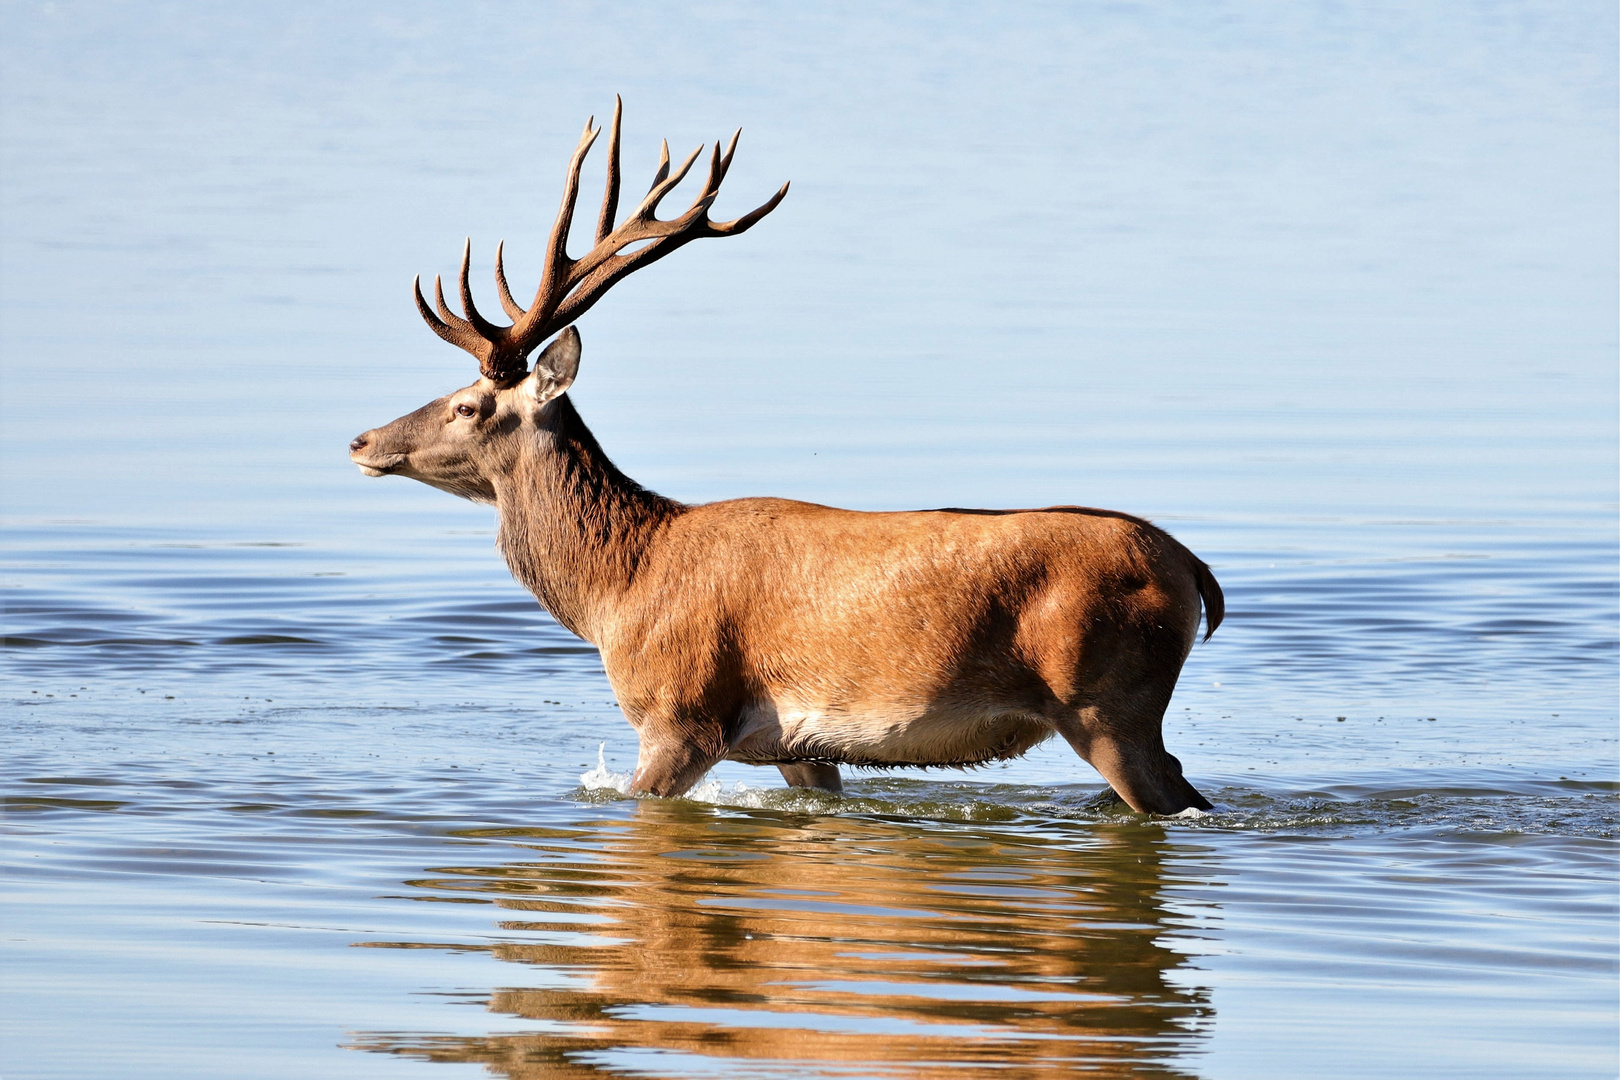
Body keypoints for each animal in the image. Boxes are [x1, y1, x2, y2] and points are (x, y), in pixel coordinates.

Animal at [348, 101, 1218, 816]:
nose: (361, 441)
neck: (617, 589)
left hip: (1108, 704)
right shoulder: (799, 749)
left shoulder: (681, 715)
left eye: (468, 404)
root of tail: (1196, 574)